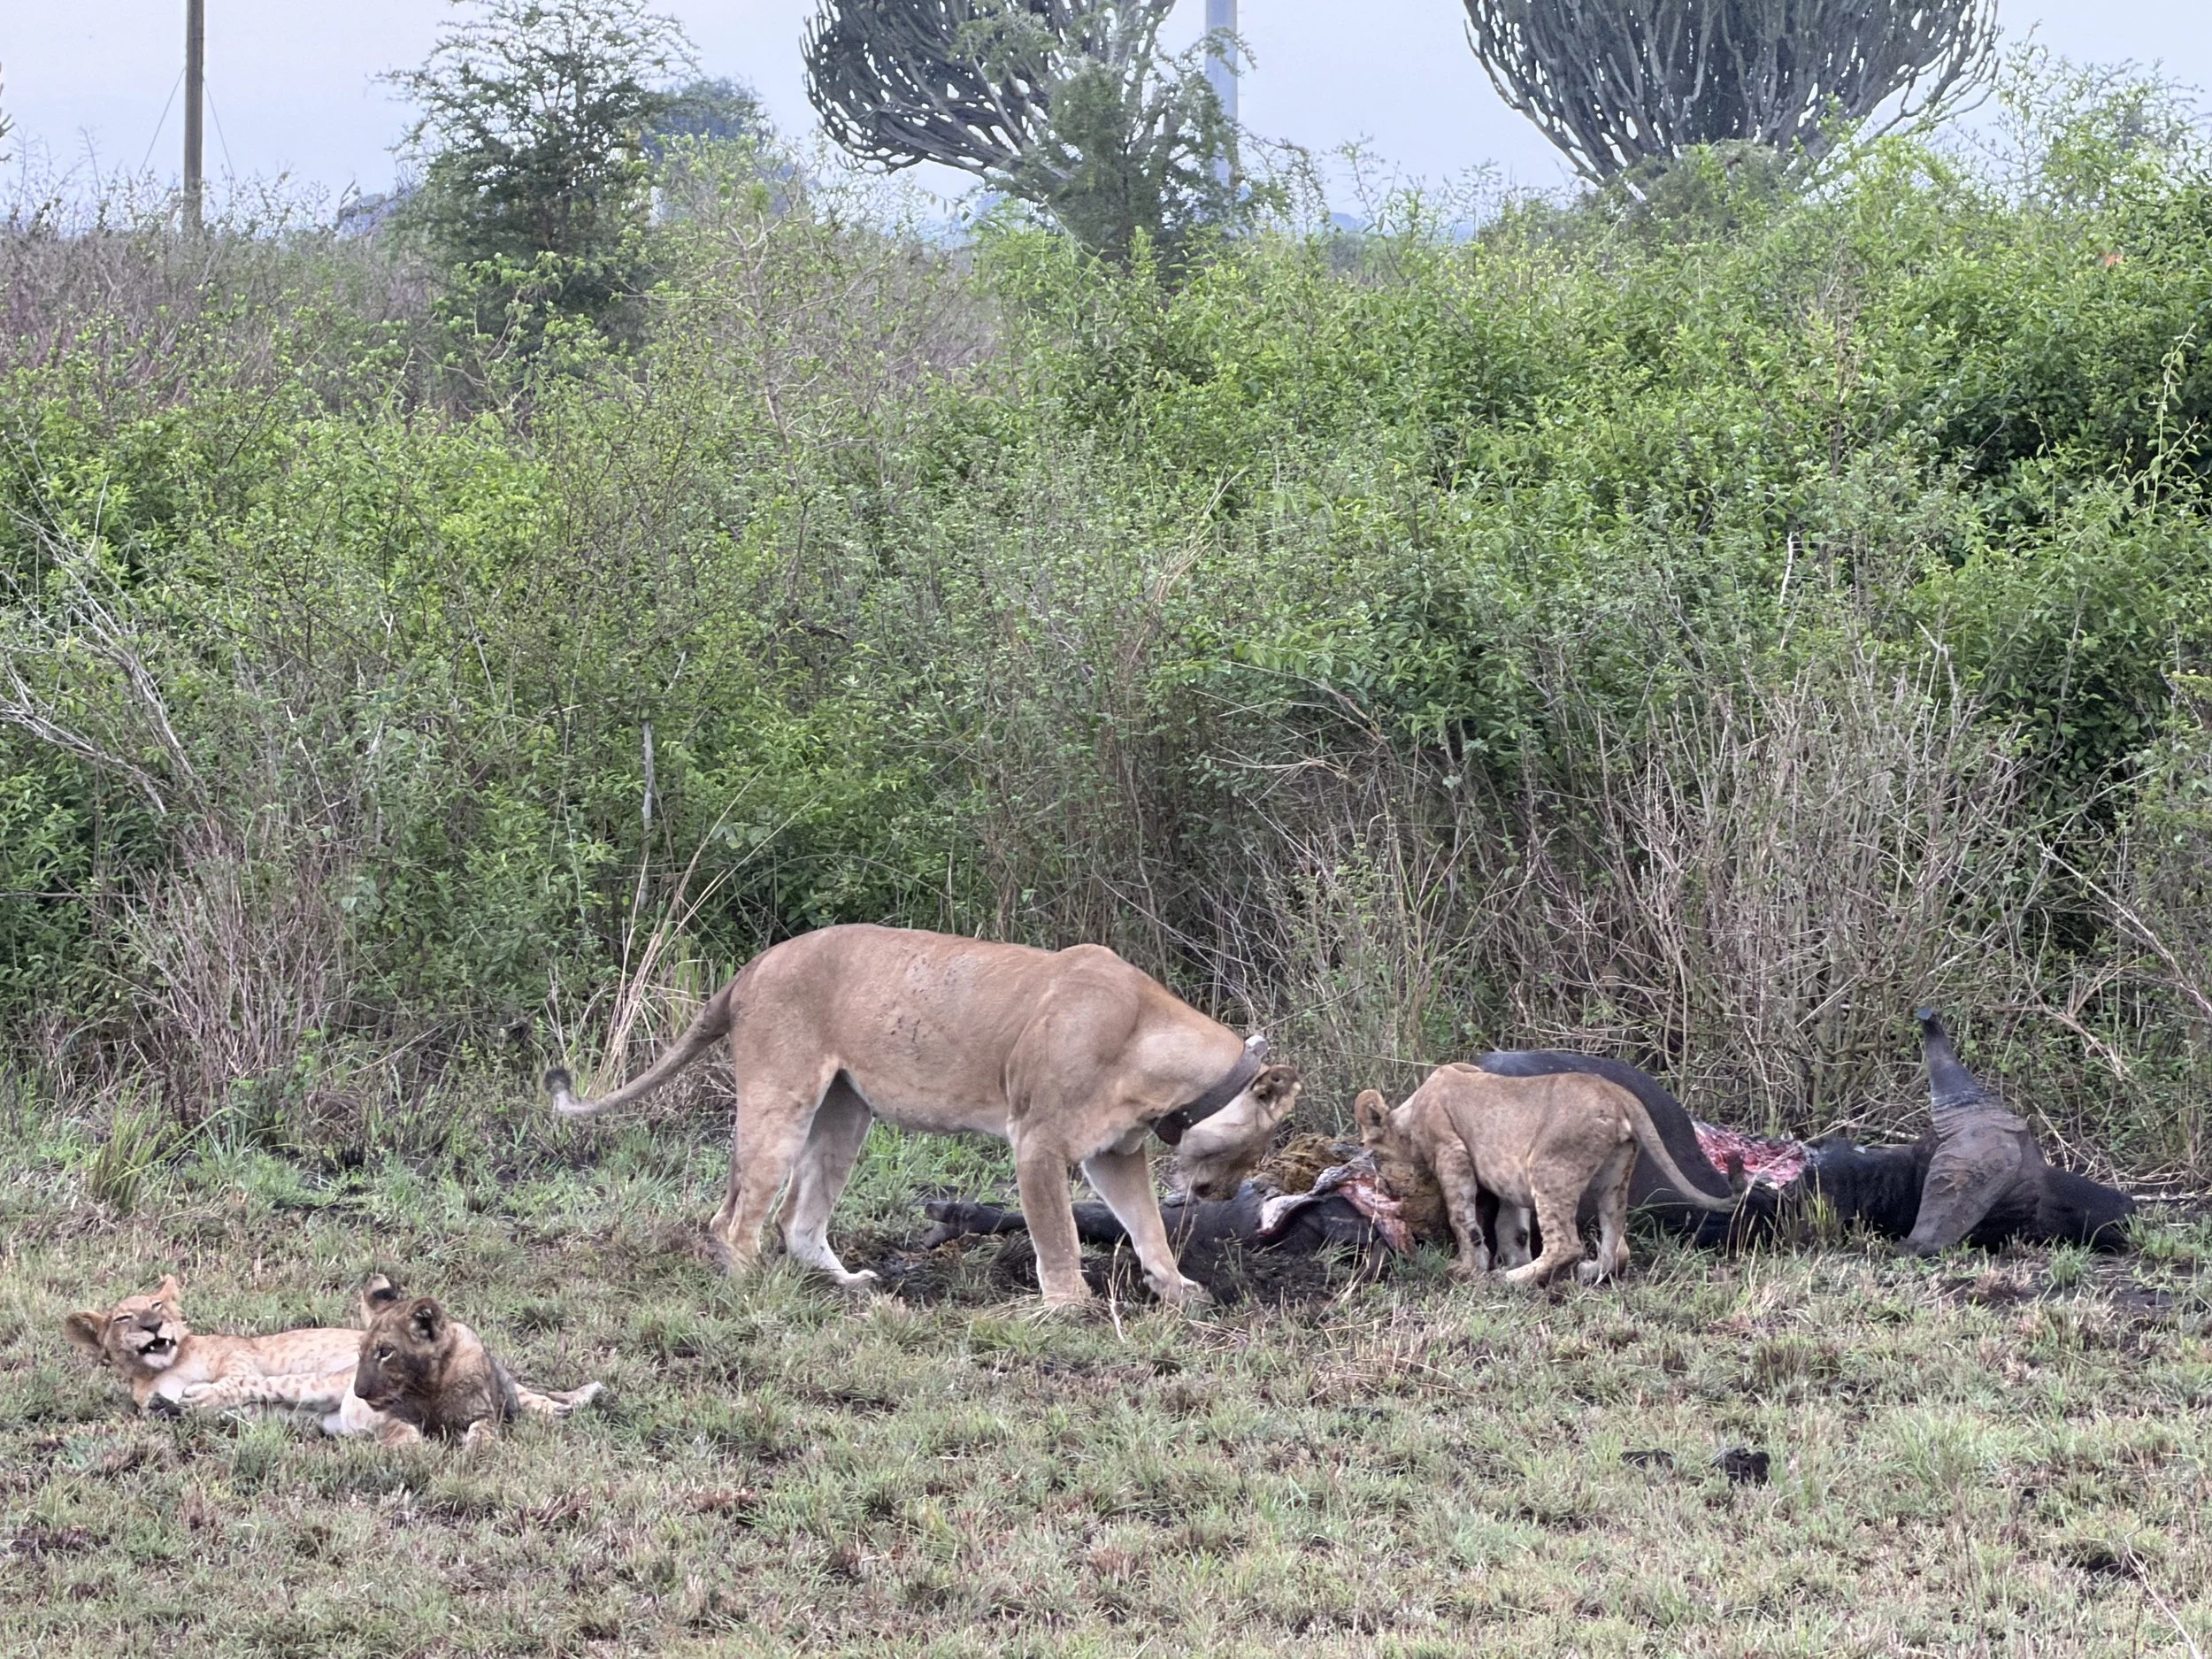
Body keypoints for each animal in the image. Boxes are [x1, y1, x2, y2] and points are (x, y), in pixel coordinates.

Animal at [351, 1279, 603, 1445]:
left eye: (386, 1352)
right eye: (360, 1352)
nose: (359, 1393)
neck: (429, 1386)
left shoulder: (482, 1413)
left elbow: (482, 1432)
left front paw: (476, 1452)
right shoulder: (395, 1416)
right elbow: (402, 1433)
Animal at [546, 923, 1300, 1309]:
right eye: (1257, 1147)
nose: (1226, 1194)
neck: (1154, 1051)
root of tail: (754, 965)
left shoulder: (1113, 1152)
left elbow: (1147, 1225)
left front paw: (1177, 1288)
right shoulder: (1037, 1139)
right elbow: (1057, 1235)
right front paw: (1069, 1306)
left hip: (845, 1112)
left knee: (796, 1217)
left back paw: (848, 1284)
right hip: (780, 1096)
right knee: (733, 1219)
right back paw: (752, 1288)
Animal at [1354, 1065, 1736, 1287]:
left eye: (1372, 1152)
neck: (1411, 1114)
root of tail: (1618, 1095)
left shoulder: (1452, 1154)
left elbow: (1464, 1221)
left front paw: (1469, 1269)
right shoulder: (1509, 1177)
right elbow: (1512, 1228)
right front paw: (1510, 1258)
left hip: (1548, 1168)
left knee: (1566, 1244)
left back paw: (1513, 1279)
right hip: (1613, 1179)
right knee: (1617, 1249)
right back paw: (1585, 1272)